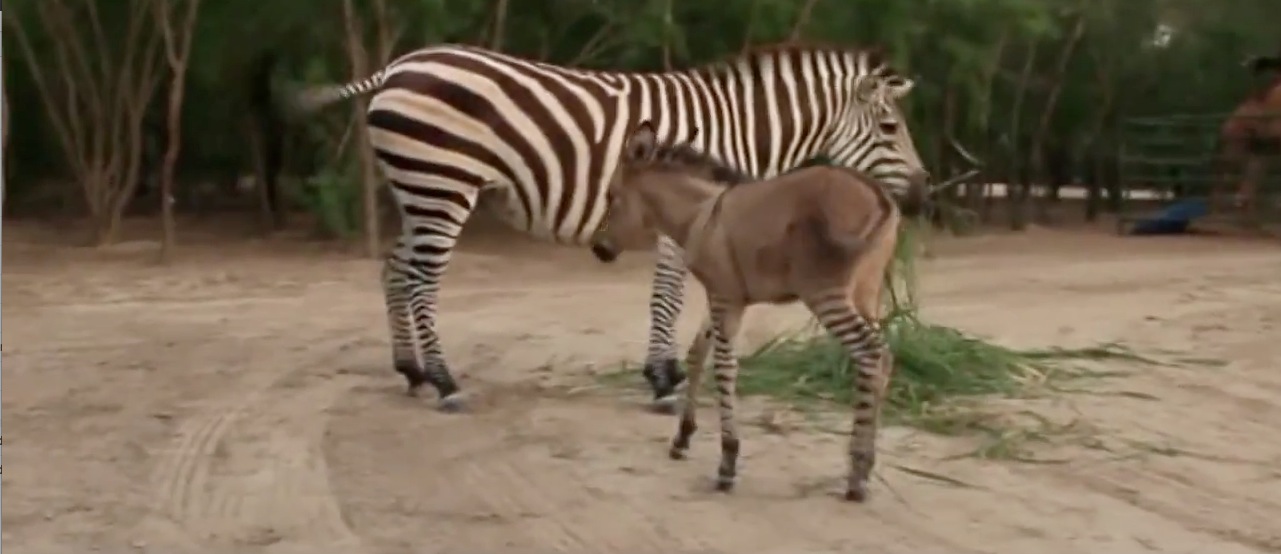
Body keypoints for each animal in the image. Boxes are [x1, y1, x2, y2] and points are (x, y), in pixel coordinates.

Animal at [289, 43, 930, 413]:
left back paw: (413, 372)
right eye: (891, 127)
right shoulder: (680, 221)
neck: (738, 130)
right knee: (421, 280)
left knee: (394, 270)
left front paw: (669, 373)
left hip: (419, 189)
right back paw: (446, 382)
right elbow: (667, 299)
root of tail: (398, 65)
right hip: (443, 184)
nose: (925, 194)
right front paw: (664, 381)